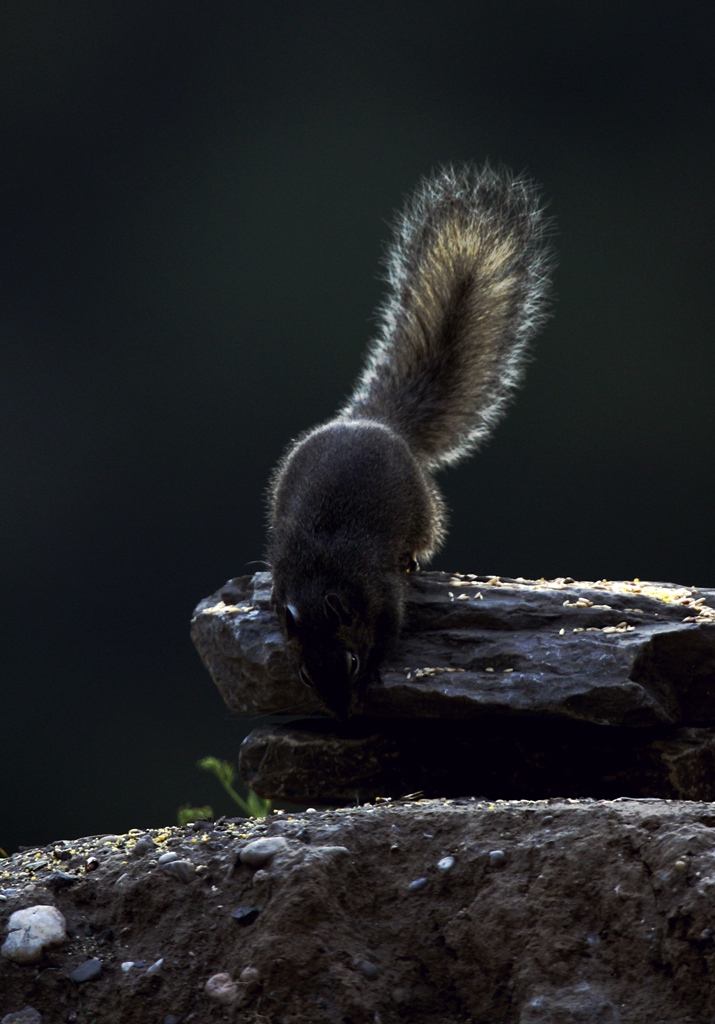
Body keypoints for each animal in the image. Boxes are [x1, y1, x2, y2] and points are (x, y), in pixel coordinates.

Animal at [264, 161, 549, 720]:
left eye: (350, 662)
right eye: (305, 673)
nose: (341, 715)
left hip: (423, 511)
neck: (319, 576)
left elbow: (392, 627)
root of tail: (373, 421)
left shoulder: (381, 591)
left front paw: (379, 666)